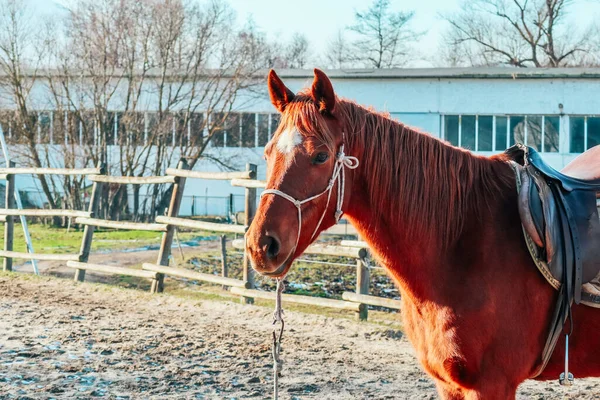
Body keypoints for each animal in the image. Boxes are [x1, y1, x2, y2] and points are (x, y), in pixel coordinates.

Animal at [245, 69, 600, 400]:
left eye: (320, 155)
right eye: (267, 152)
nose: (261, 246)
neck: (462, 239)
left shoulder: (492, 384)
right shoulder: (449, 384)